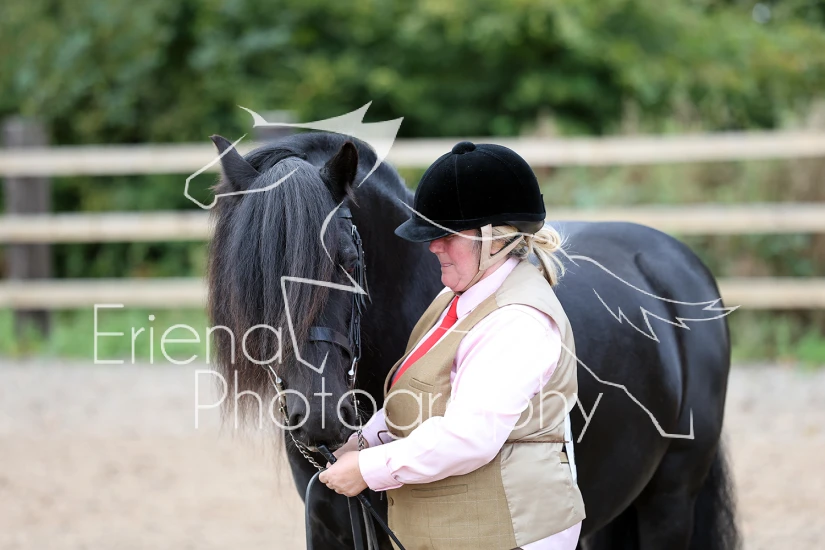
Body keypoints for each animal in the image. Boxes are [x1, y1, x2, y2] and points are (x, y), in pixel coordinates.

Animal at [206, 131, 739, 550]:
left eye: (349, 262)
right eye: (248, 274)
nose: (318, 415)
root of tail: (674, 260)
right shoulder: (325, 529)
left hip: (669, 501)